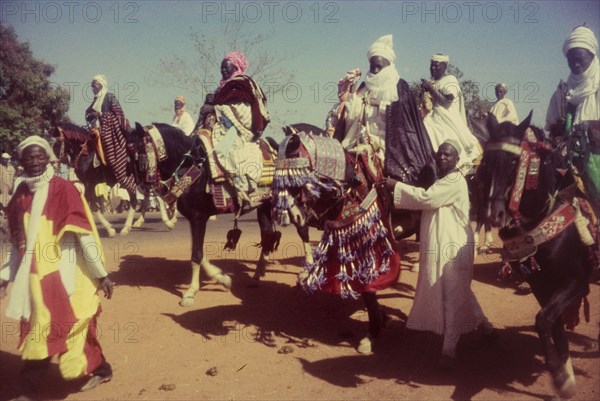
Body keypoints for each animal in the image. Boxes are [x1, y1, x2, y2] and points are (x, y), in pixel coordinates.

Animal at [127, 123, 282, 304]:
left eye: (137, 149)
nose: (140, 187)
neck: (191, 167)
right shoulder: (193, 220)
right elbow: (199, 253)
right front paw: (223, 279)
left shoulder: (199, 218)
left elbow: (196, 255)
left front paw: (190, 292)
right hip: (263, 206)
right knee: (267, 235)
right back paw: (256, 276)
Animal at [478, 111, 596, 398]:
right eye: (485, 162)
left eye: (514, 162)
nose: (494, 215)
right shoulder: (542, 287)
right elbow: (553, 326)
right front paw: (566, 376)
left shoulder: (576, 283)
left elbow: (542, 321)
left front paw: (560, 376)